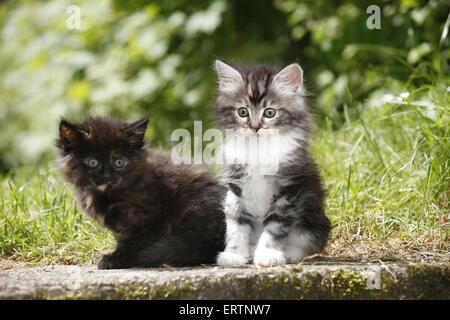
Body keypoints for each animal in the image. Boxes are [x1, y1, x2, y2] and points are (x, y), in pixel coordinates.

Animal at [56, 116, 225, 268]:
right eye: (92, 162)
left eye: (119, 162)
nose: (108, 177)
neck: (106, 194)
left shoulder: (148, 216)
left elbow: (133, 242)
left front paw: (116, 259)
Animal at [213, 60, 332, 264]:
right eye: (242, 112)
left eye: (270, 113)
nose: (255, 127)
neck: (259, 149)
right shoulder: (236, 191)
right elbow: (237, 225)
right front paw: (234, 254)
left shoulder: (287, 191)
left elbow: (275, 226)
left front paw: (268, 254)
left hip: (313, 220)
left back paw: (290, 253)